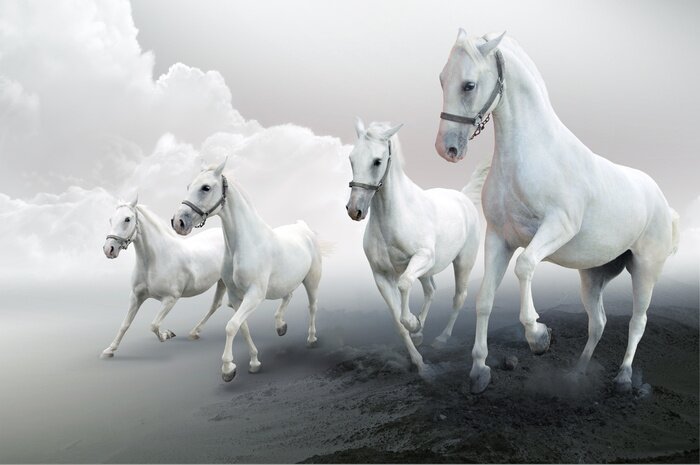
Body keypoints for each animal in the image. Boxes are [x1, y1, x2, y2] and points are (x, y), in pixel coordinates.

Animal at [101, 195, 248, 357]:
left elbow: (154, 325)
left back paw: (194, 332)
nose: (109, 249)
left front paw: (167, 334)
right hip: (222, 281)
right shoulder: (136, 297)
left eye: (127, 219)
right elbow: (124, 324)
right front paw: (109, 350)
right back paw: (195, 332)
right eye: (110, 219)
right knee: (217, 304)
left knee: (217, 305)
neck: (155, 259)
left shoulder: (170, 299)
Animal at [172, 159, 324, 382]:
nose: (178, 222)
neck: (245, 244)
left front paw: (228, 369)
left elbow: (231, 326)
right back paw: (280, 326)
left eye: (206, 187)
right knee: (288, 296)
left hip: (311, 280)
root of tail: (303, 228)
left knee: (312, 306)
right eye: (189, 186)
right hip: (285, 282)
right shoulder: (236, 297)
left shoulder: (254, 295)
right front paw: (253, 362)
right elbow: (241, 327)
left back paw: (311, 339)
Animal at [346, 119, 489, 377]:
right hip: (426, 272)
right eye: (351, 159)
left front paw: (413, 322)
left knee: (458, 297)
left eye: (377, 161)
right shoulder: (381, 276)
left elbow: (404, 286)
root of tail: (463, 198)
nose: (355, 210)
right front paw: (418, 359)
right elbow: (398, 322)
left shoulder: (422, 258)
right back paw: (421, 333)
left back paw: (441, 338)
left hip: (462, 262)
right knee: (431, 289)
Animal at [435, 29, 679, 393]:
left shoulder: (556, 228)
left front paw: (539, 336)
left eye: (468, 85)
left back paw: (623, 377)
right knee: (598, 322)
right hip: (593, 275)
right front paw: (479, 370)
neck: (531, 155)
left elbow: (525, 266)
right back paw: (577, 373)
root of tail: (661, 200)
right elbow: (484, 299)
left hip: (645, 269)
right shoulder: (498, 239)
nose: (447, 149)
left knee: (638, 321)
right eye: (441, 79)